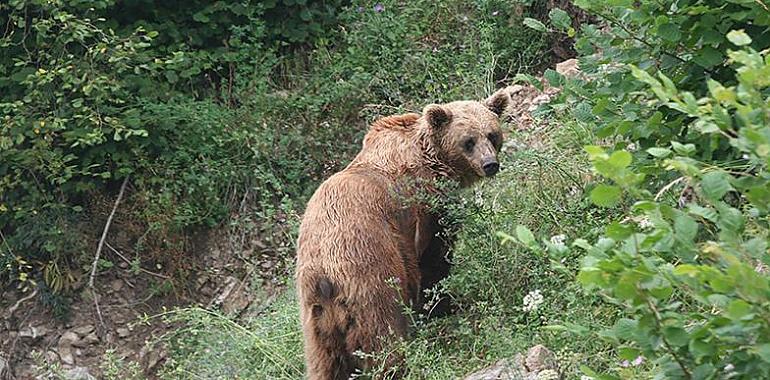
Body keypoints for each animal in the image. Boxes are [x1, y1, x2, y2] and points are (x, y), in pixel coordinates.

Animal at [296, 90, 510, 378]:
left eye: (492, 135)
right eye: (469, 141)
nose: (490, 164)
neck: (433, 159)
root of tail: (324, 273)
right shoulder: (425, 207)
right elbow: (435, 258)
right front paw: (442, 305)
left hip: (315, 318)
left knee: (324, 361)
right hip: (369, 269)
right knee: (384, 329)